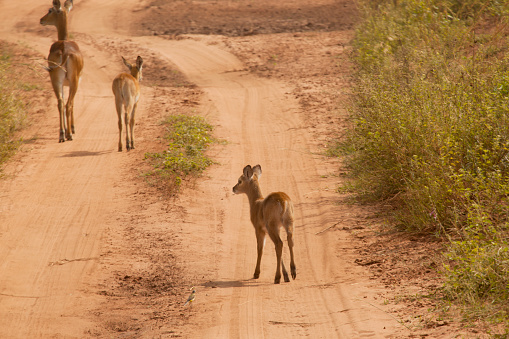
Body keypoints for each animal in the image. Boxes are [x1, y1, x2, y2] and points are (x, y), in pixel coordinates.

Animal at [40, 0, 83, 143]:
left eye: (49, 10)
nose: (41, 20)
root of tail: (64, 50)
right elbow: (72, 103)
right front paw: (73, 129)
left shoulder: (63, 84)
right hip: (73, 82)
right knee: (68, 104)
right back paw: (69, 134)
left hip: (56, 81)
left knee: (60, 103)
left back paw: (62, 134)